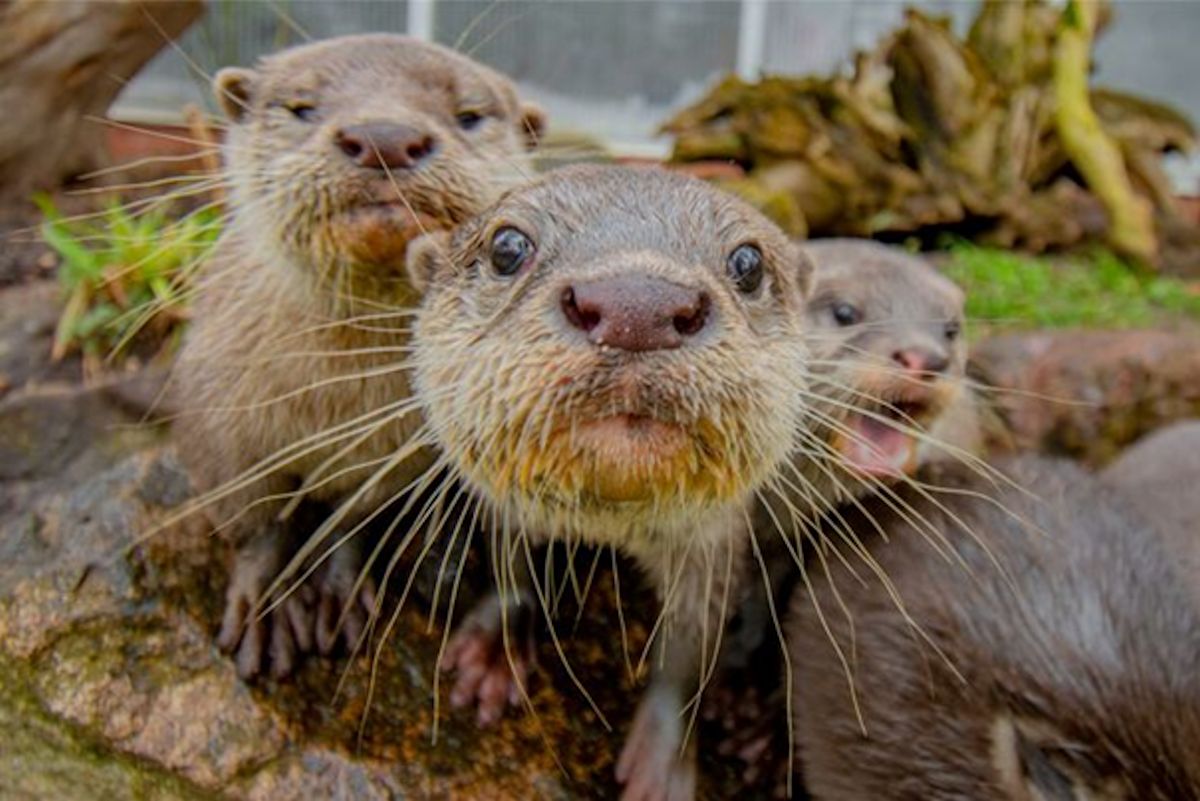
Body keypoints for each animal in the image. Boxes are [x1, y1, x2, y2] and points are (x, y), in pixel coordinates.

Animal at [172, 34, 544, 681]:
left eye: (469, 115)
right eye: (301, 107)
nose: (384, 136)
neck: (328, 404)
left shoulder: (393, 453)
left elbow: (352, 519)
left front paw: (339, 587)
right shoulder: (218, 428)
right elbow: (255, 523)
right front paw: (263, 605)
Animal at [405, 164, 816, 801]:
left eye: (747, 263)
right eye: (507, 247)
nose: (637, 305)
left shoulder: (712, 545)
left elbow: (691, 650)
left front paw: (663, 758)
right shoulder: (507, 506)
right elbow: (509, 562)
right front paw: (495, 651)